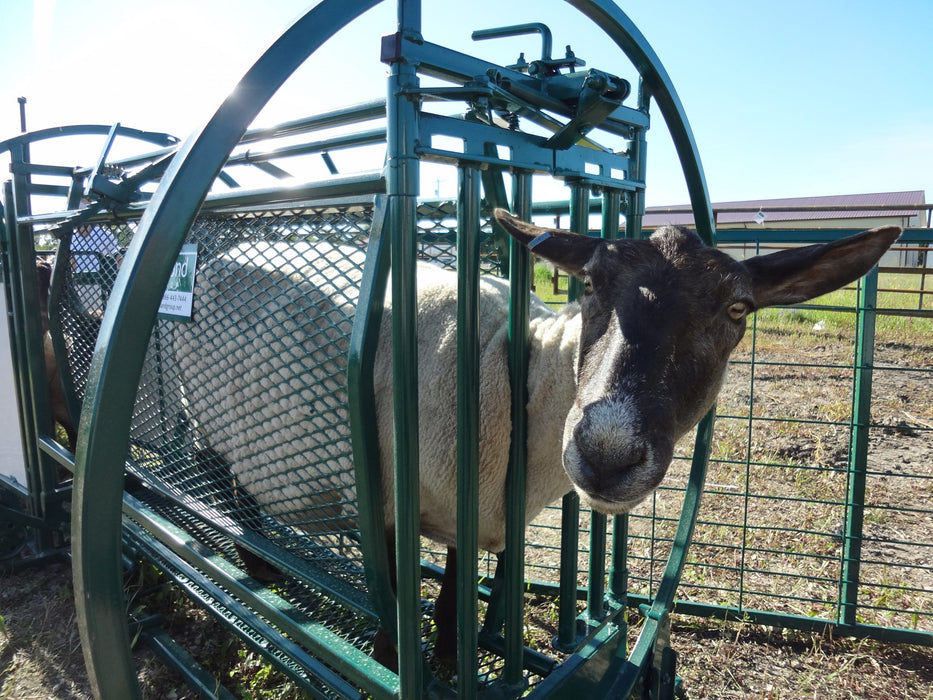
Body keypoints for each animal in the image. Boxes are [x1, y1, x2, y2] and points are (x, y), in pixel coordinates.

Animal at [171, 209, 899, 667]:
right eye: (591, 283)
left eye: (737, 308)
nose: (606, 453)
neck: (516, 368)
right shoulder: (385, 499)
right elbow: (399, 611)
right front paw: (395, 658)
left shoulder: (466, 509)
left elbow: (452, 598)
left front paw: (448, 656)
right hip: (206, 412)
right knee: (223, 479)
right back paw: (258, 561)